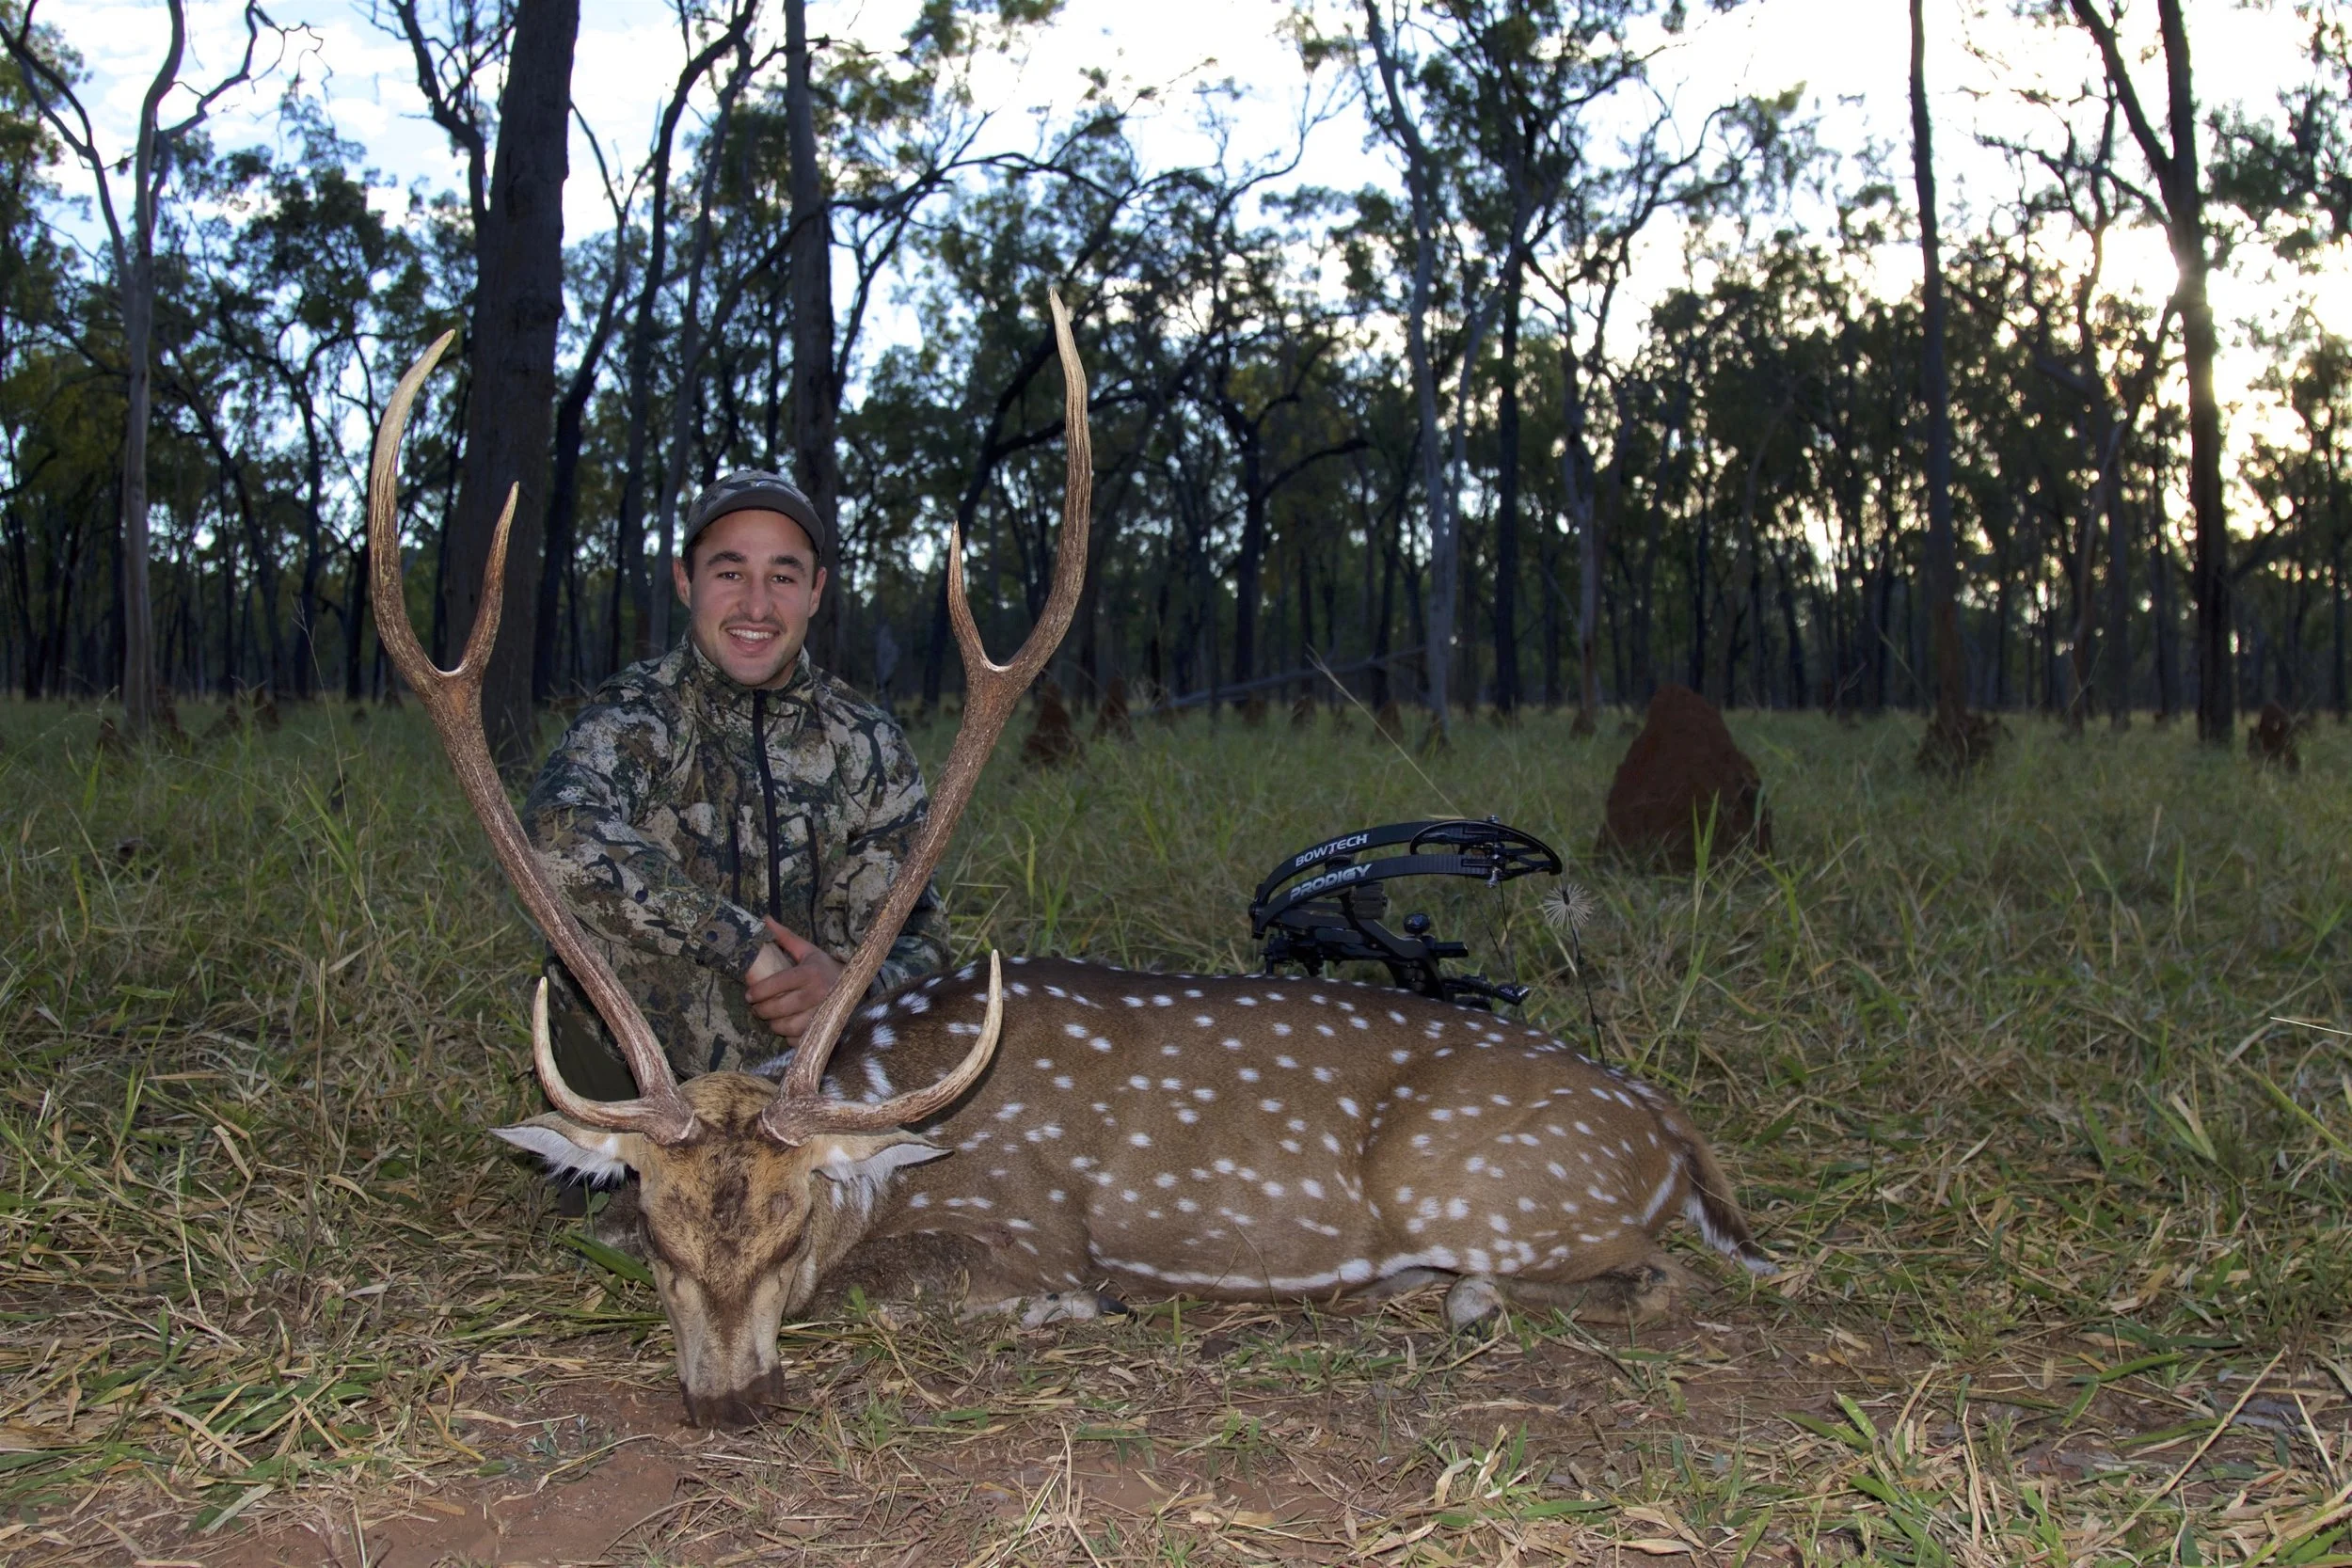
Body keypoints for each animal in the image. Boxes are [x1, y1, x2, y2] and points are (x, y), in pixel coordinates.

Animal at [367, 298, 1772, 1429]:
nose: (730, 1396)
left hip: (1492, 1182)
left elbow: (928, 1290)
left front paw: (1068, 1312)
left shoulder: (1024, 1222)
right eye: (658, 1226)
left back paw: (1449, 1289)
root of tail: (1676, 1132)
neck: (898, 1101)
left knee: (1654, 1275)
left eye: (793, 1217)